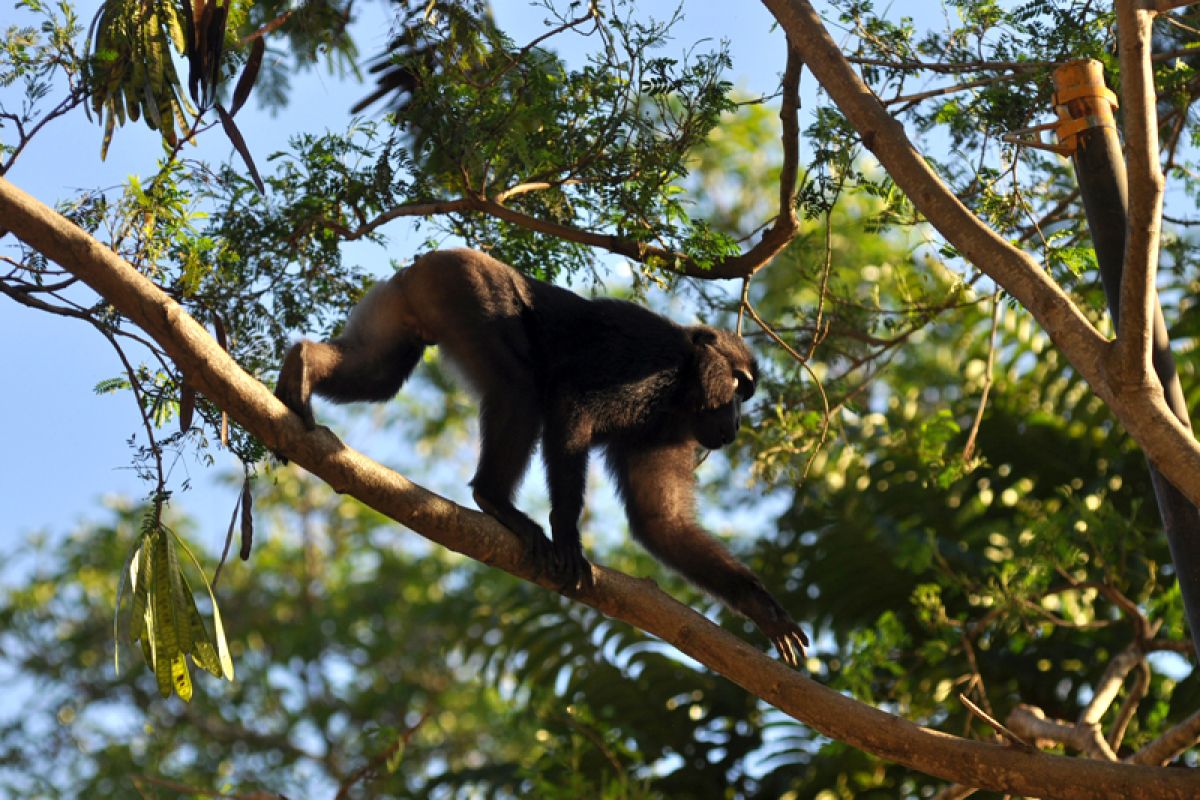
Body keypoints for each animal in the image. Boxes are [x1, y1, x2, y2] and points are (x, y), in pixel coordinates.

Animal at [276, 248, 811, 662]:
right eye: (739, 386)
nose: (736, 423)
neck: (682, 389)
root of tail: (422, 265)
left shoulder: (669, 435)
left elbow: (662, 523)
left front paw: (762, 608)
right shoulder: (650, 359)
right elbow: (572, 407)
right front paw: (568, 536)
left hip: (411, 302)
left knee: (381, 374)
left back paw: (302, 365)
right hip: (471, 288)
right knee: (520, 389)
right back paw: (494, 500)